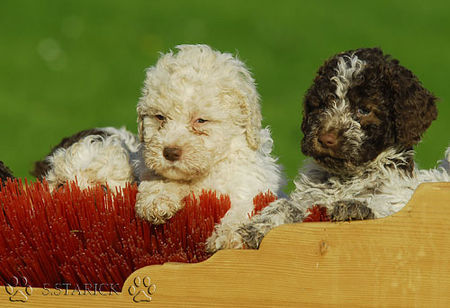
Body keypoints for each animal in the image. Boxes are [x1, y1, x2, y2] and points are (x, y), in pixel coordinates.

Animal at [134, 44, 284, 250]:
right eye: (160, 117)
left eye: (201, 121)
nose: (170, 152)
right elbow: (159, 179)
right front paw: (157, 199)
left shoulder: (249, 185)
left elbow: (242, 209)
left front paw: (228, 236)